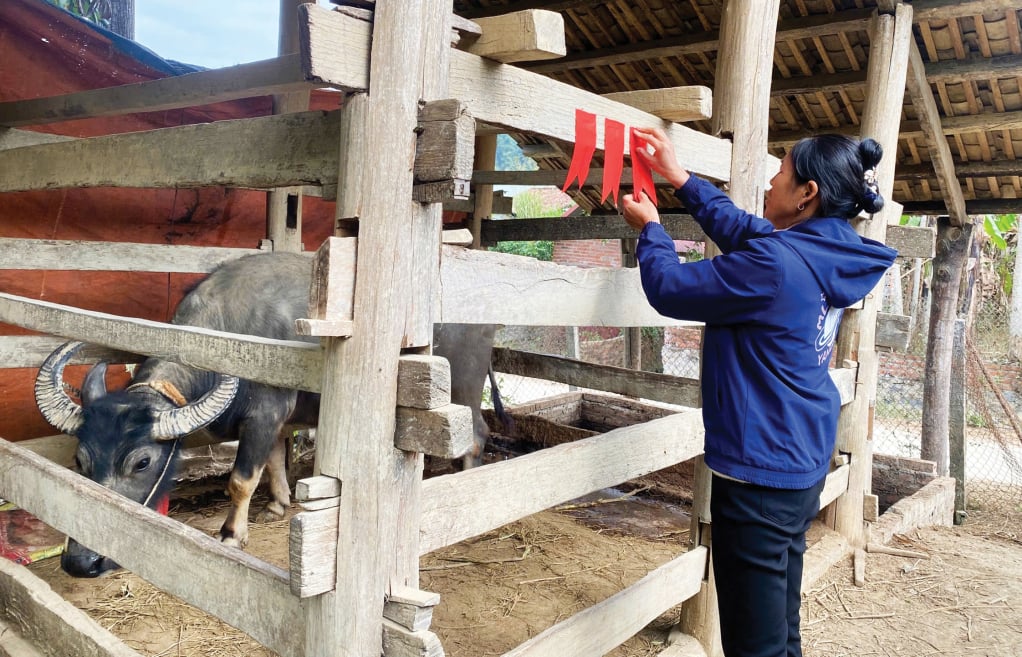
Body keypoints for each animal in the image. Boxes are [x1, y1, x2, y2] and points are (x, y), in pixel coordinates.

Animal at [35, 252, 502, 576]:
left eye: (142, 462)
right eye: (80, 460)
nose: (81, 562)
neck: (229, 329)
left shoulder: (263, 415)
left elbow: (241, 479)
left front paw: (231, 533)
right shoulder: (275, 423)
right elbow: (275, 462)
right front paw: (278, 505)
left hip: (463, 386)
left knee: (476, 432)